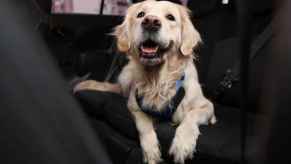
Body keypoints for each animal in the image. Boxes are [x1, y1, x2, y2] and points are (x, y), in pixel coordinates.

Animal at [75, 0, 217, 163]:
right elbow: (143, 123)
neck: (157, 81)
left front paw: (183, 144)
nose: (150, 22)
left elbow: (191, 116)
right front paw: (151, 150)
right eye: (141, 14)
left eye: (170, 17)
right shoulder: (133, 104)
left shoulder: (207, 106)